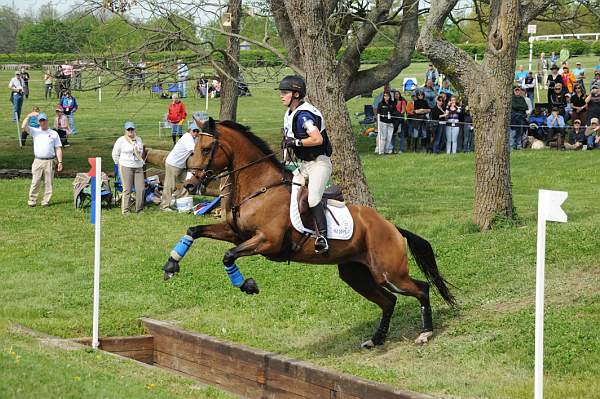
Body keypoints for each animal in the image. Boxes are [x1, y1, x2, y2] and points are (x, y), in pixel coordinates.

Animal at [161, 118, 454, 346]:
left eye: (206, 148)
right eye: (192, 150)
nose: (190, 185)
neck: (259, 187)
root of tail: (391, 226)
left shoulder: (266, 242)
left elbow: (228, 255)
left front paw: (247, 285)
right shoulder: (237, 233)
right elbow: (194, 229)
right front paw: (171, 266)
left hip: (388, 272)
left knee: (422, 288)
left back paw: (425, 333)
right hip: (356, 274)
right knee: (389, 301)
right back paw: (376, 339)